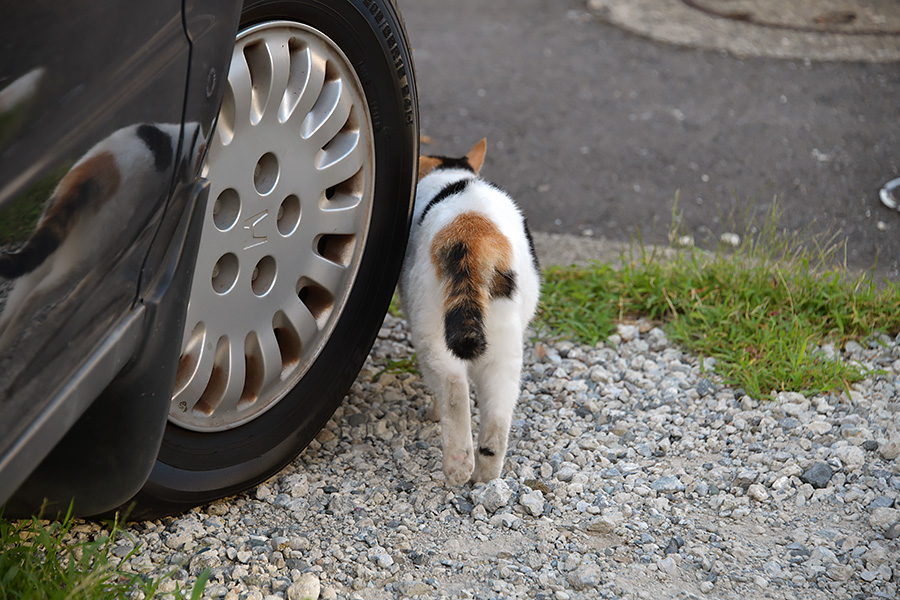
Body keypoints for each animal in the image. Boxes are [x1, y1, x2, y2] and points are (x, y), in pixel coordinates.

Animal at [402, 138, 540, 486]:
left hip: (429, 331)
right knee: (498, 416)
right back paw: (484, 473)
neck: (451, 174)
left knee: (453, 386)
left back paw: (457, 464)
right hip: (505, 346)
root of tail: (472, 229)